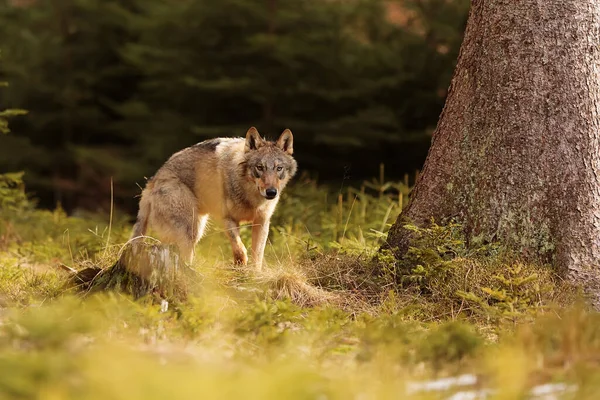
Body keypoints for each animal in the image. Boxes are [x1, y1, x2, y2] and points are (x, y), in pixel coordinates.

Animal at [131, 126, 296, 270]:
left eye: (279, 168)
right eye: (260, 168)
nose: (271, 192)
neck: (251, 197)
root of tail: (153, 180)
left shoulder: (261, 222)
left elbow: (257, 255)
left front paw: (255, 274)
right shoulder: (227, 219)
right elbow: (240, 249)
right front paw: (240, 266)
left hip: (195, 230)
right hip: (189, 231)